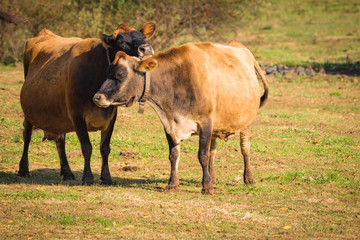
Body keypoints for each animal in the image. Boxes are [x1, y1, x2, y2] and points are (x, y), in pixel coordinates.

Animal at [18, 22, 156, 185]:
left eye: (143, 37)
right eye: (122, 42)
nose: (146, 48)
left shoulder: (111, 115)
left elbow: (105, 148)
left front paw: (106, 177)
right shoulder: (77, 115)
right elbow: (86, 147)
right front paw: (88, 177)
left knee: (60, 140)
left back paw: (67, 172)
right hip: (29, 111)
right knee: (27, 134)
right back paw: (23, 169)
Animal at [92, 40, 268, 193]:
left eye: (120, 74)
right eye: (107, 72)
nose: (97, 97)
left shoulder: (205, 123)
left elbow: (202, 156)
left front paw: (206, 187)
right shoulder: (170, 125)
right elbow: (174, 155)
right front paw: (173, 184)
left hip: (246, 122)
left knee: (245, 148)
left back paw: (248, 178)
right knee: (213, 150)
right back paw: (213, 178)